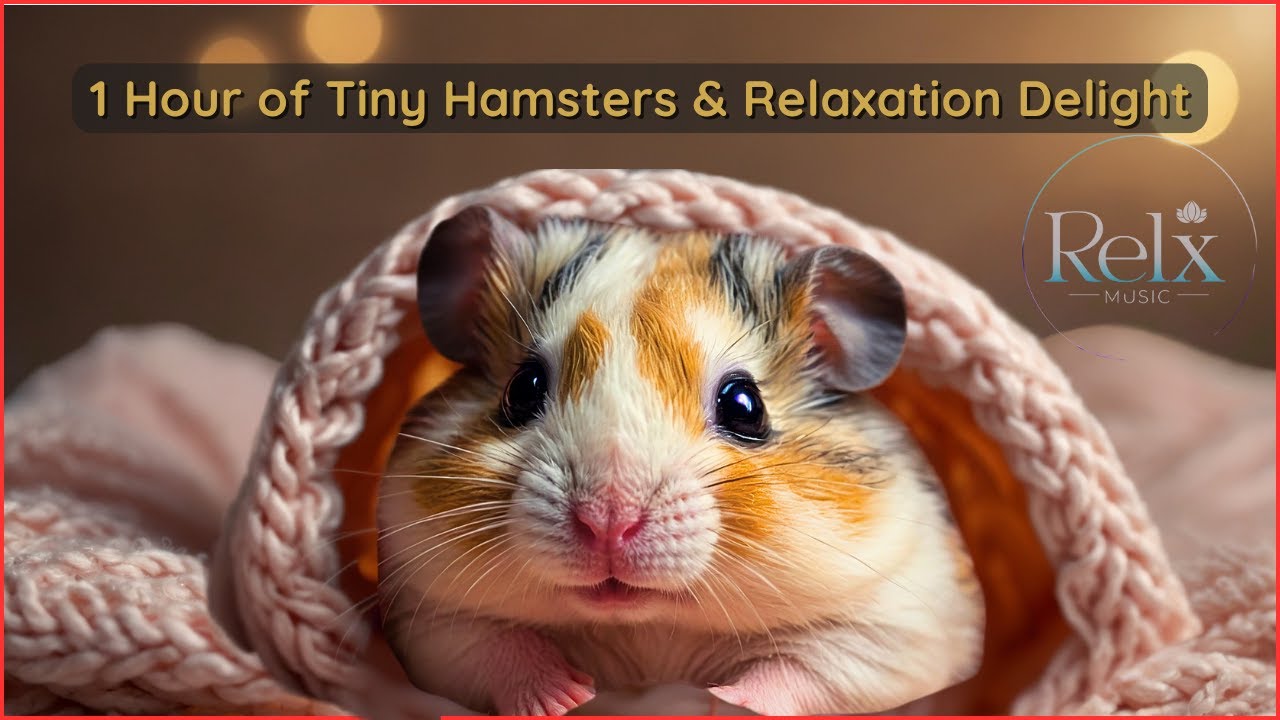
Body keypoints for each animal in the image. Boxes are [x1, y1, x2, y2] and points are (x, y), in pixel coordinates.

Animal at [376, 206, 984, 716]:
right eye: (521, 390)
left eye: (745, 406)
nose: (608, 523)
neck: (650, 626)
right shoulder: (430, 621)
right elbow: (499, 650)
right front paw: (570, 698)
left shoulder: (896, 630)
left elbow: (799, 674)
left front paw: (718, 698)